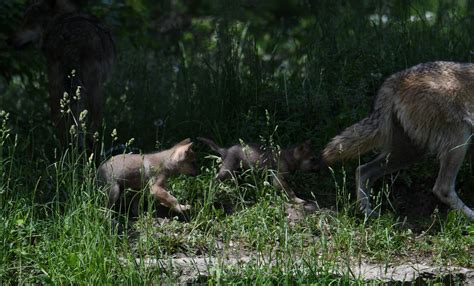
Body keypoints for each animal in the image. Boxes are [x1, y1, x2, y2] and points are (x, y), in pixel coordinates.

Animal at [8, 0, 114, 152]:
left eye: (28, 22)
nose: (8, 41)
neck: (60, 19)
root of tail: (74, 40)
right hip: (91, 88)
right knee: (90, 123)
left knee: (62, 118)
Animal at [320, 61, 472, 220]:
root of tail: (397, 79)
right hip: (459, 139)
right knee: (443, 188)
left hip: (409, 154)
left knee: (362, 171)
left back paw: (367, 213)